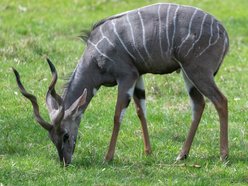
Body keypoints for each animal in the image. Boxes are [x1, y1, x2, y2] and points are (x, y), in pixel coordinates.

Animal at [13, 3, 229, 166]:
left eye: (65, 135)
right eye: (52, 138)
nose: (65, 162)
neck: (94, 56)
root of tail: (224, 33)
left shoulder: (126, 76)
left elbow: (118, 116)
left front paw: (108, 157)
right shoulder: (138, 75)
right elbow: (141, 111)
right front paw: (148, 152)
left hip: (198, 71)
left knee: (221, 100)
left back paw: (223, 155)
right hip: (187, 73)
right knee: (199, 103)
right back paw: (182, 154)